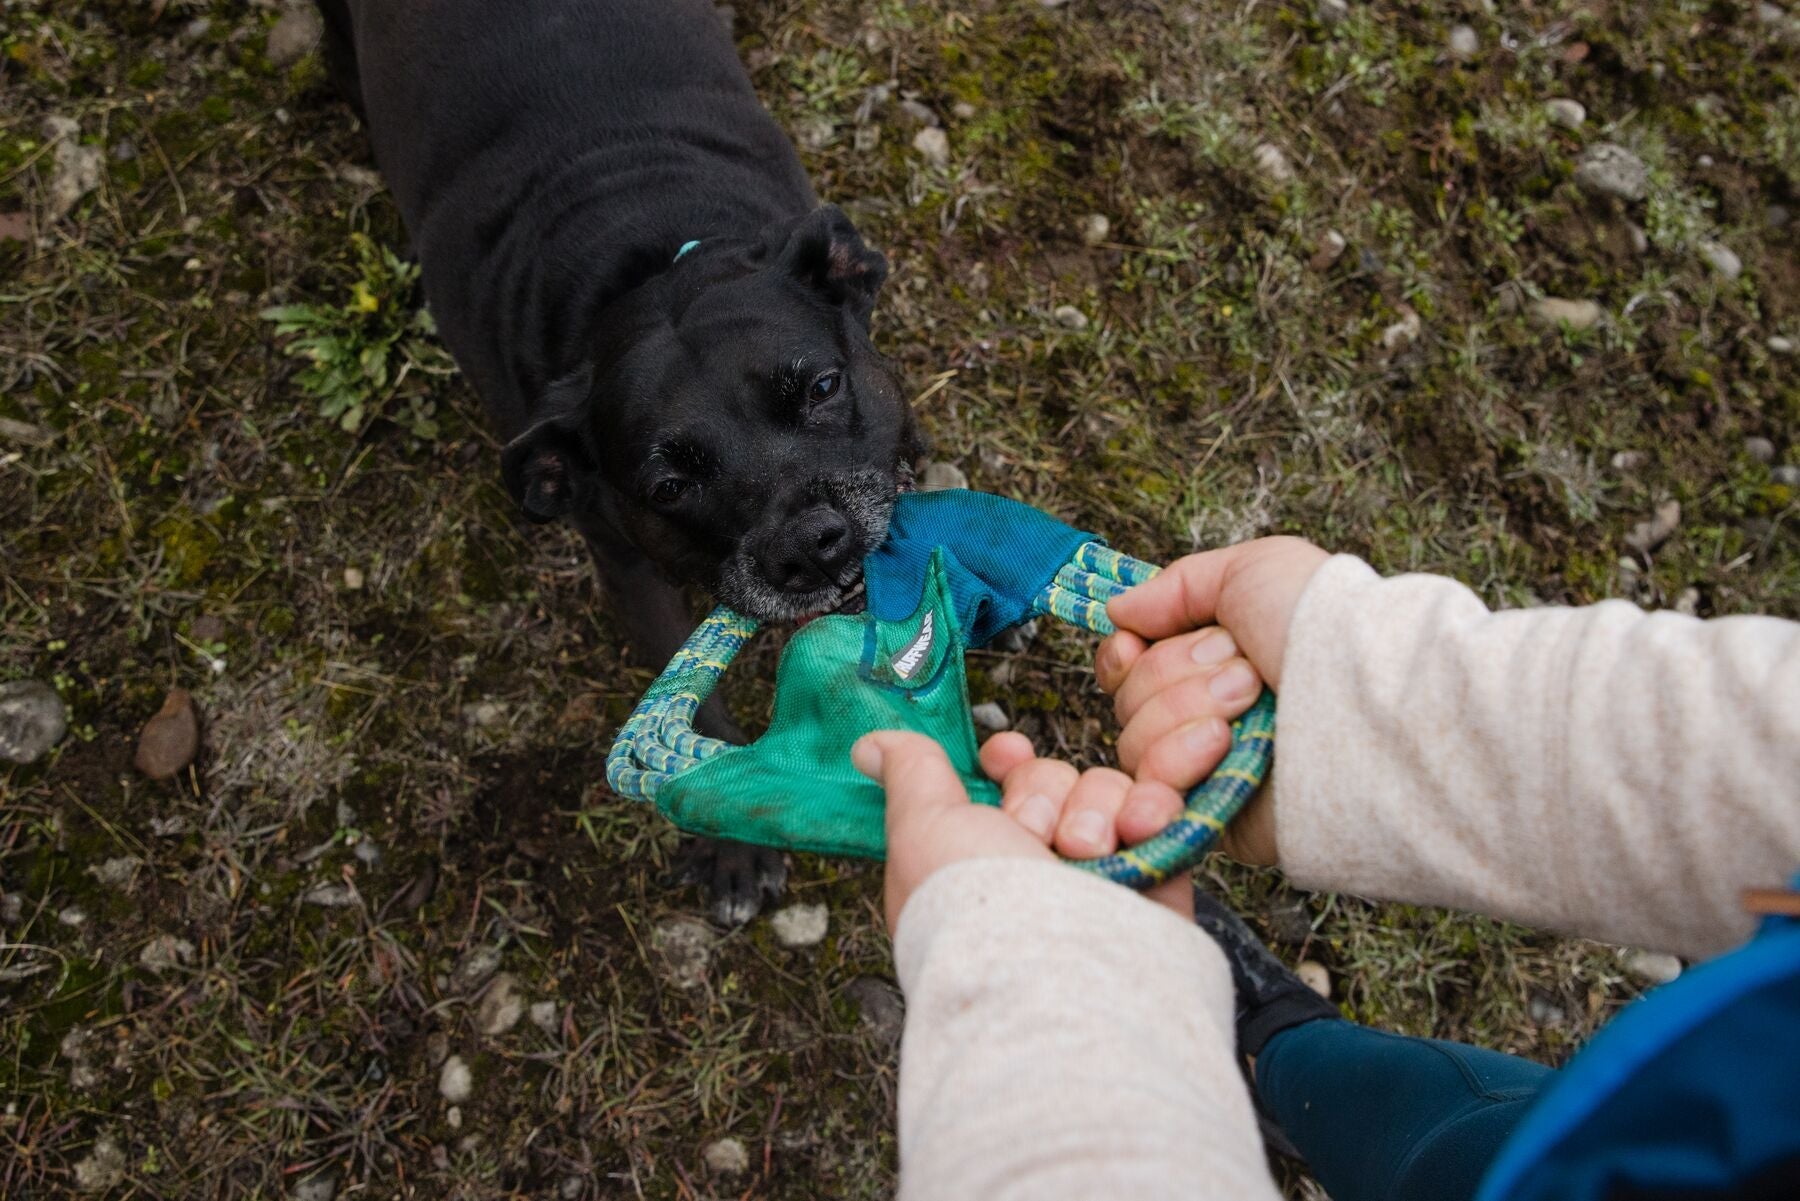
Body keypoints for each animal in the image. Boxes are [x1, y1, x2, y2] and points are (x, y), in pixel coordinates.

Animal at [311, 0, 921, 929]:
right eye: (668, 486)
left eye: (821, 386)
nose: (810, 544)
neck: (644, 253)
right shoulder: (629, 570)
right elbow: (699, 703)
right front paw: (733, 842)